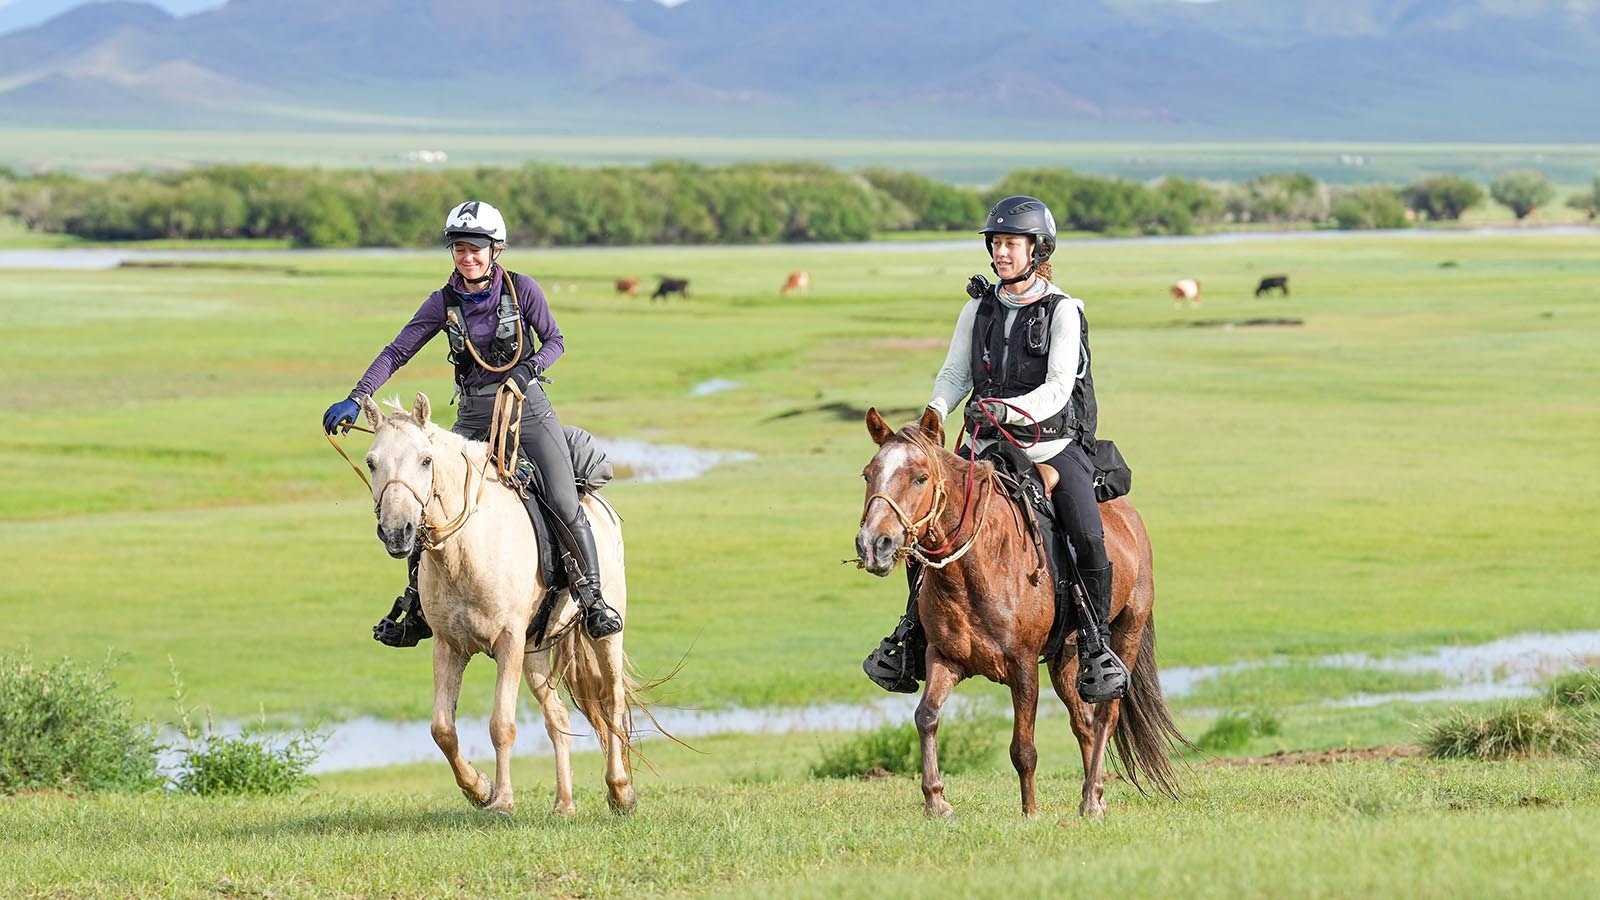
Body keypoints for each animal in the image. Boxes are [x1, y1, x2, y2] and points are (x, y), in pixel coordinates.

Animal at [363, 392, 636, 813]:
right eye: (371, 462)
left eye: (425, 460)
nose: (397, 532)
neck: (465, 550)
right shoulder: (450, 646)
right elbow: (442, 728)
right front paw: (480, 788)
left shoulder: (507, 642)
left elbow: (501, 724)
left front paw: (503, 799)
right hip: (535, 650)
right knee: (558, 717)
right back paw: (564, 804)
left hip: (604, 637)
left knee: (612, 704)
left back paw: (620, 790)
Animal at [857, 406, 1184, 819]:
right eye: (868, 474)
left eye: (920, 477)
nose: (873, 544)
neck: (976, 568)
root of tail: (1129, 518)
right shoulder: (944, 657)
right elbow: (926, 717)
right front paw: (936, 801)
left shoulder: (1023, 666)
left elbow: (1023, 748)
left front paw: (1030, 812)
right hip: (1066, 656)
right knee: (1083, 722)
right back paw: (1094, 798)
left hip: (1127, 631)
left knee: (1105, 714)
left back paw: (1091, 797)